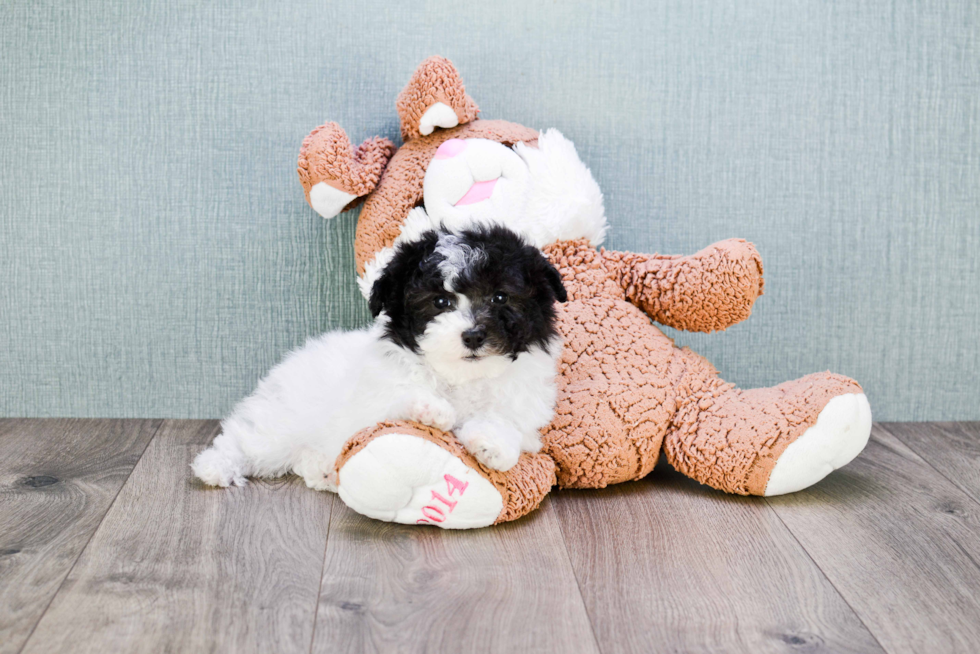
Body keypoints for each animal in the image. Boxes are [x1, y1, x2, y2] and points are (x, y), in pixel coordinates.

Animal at [191, 226, 568, 492]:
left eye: (500, 297)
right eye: (440, 302)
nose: (473, 335)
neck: (459, 378)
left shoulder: (526, 413)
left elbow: (510, 425)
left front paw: (492, 444)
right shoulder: (373, 397)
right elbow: (394, 401)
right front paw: (431, 409)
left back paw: (321, 469)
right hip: (282, 421)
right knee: (246, 441)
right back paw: (215, 466)